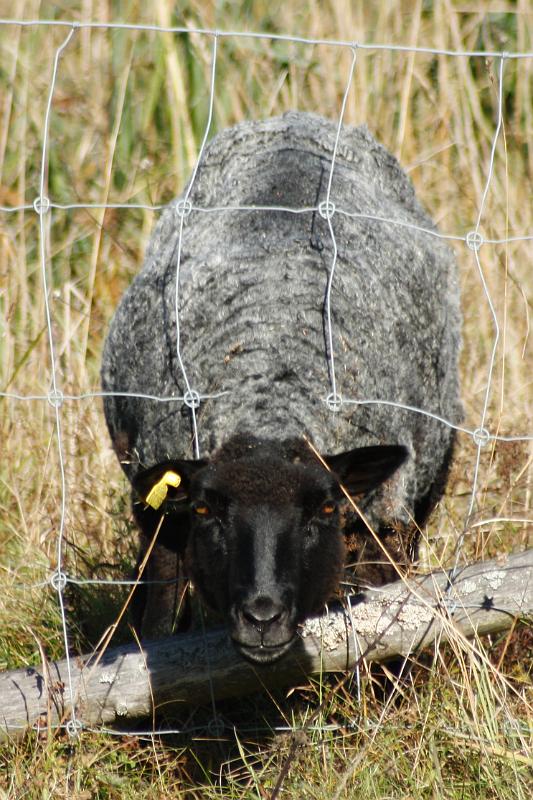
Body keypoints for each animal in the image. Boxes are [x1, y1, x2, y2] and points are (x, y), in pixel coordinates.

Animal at [101, 111, 462, 664]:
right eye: (206, 509)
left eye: (324, 509)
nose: (262, 618)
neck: (268, 389)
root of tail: (295, 118)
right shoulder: (160, 520)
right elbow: (160, 622)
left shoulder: (377, 525)